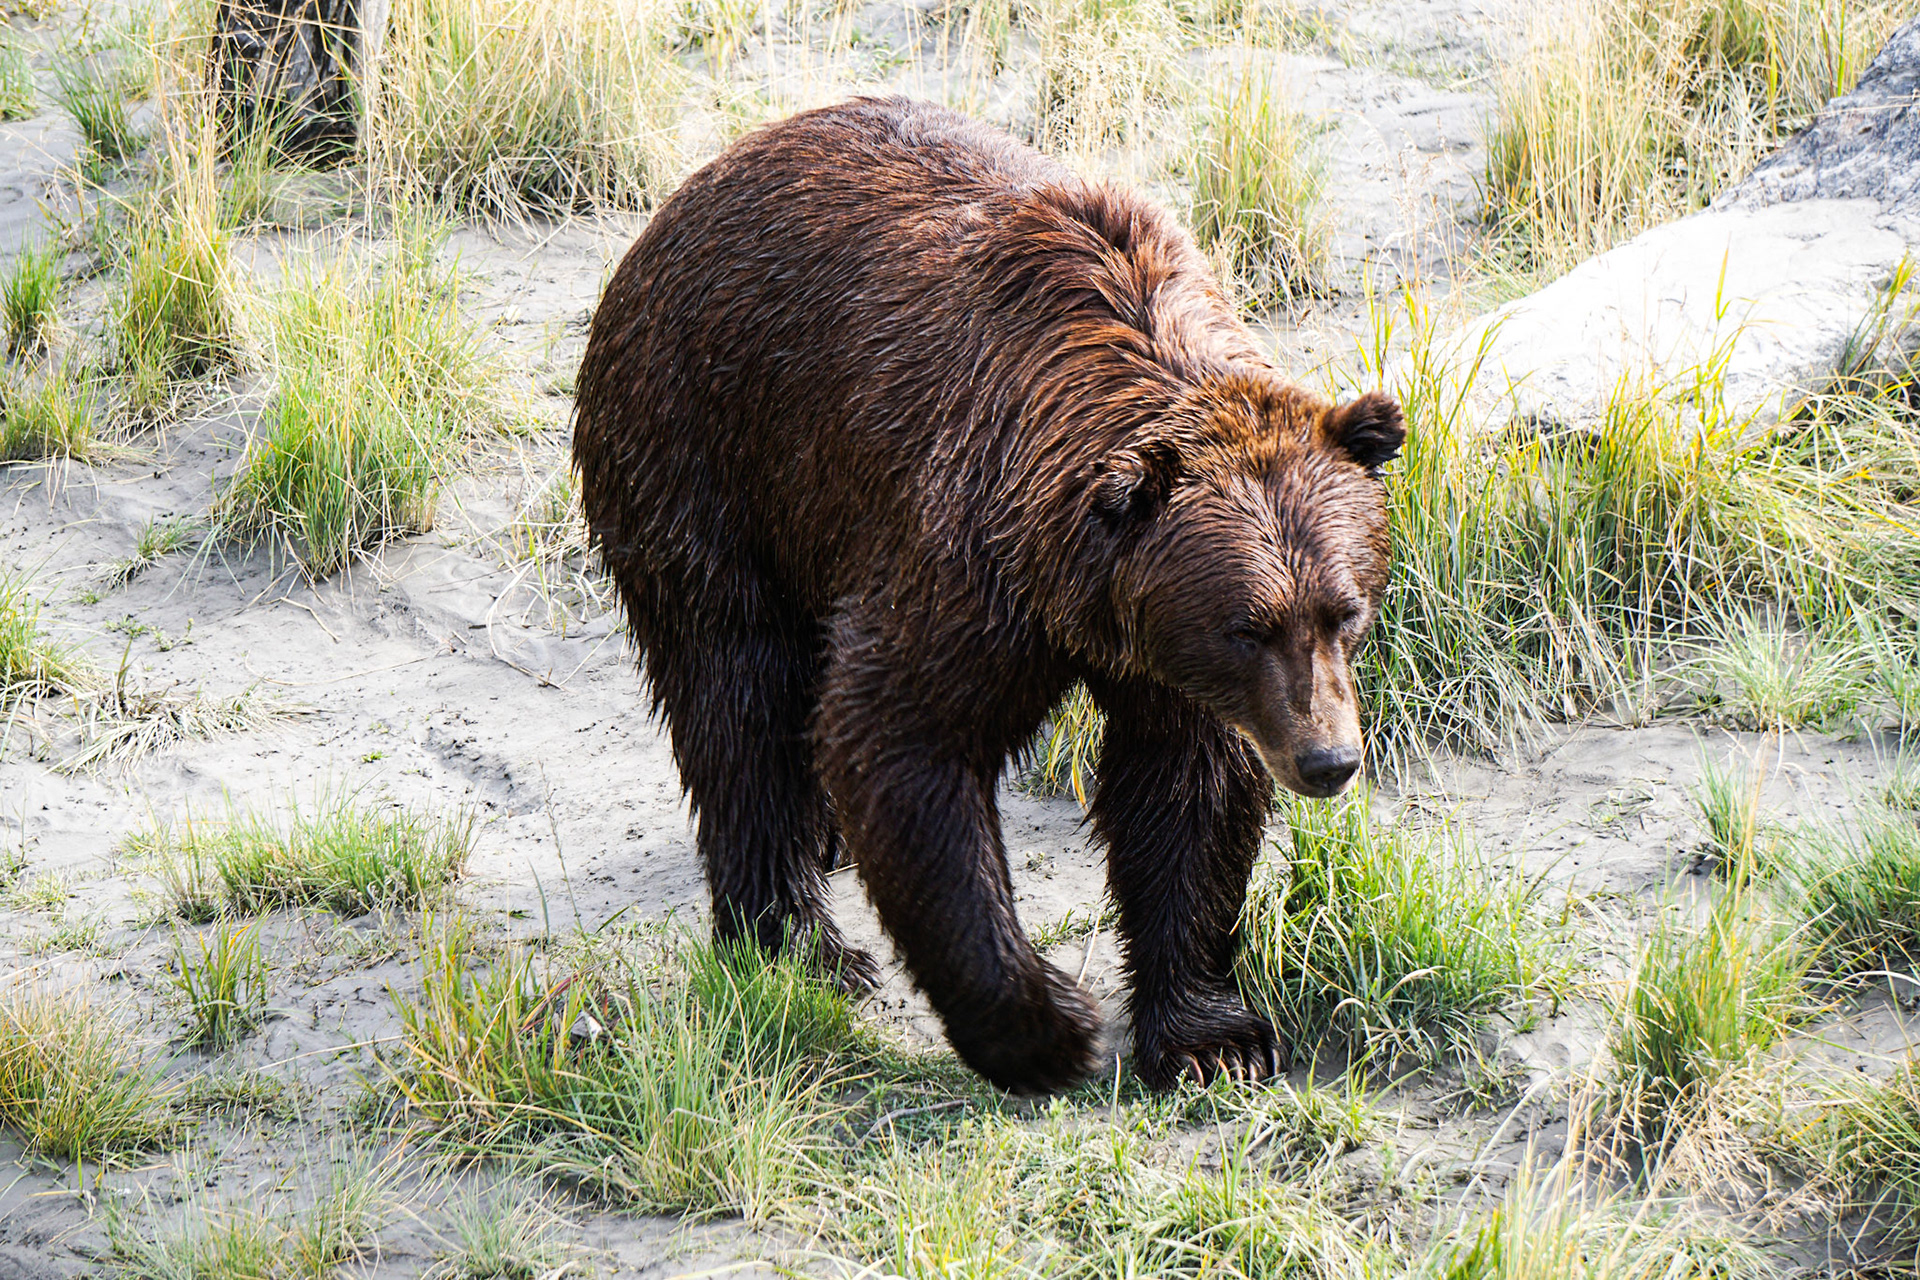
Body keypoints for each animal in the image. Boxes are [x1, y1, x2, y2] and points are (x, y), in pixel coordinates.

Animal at [573, 96, 1404, 1095]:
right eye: (1249, 627)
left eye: (1345, 609)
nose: (1329, 761)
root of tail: (679, 202)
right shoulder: (973, 557)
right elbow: (904, 735)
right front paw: (1049, 1027)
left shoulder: (1161, 645)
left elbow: (1186, 795)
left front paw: (1213, 1037)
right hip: (709, 449)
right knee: (738, 694)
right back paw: (803, 939)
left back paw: (823, 846)